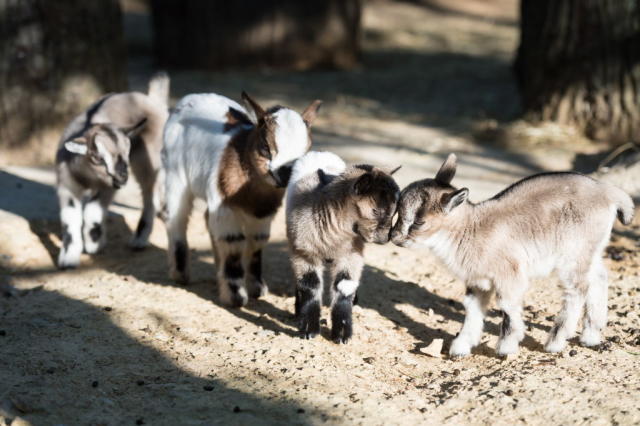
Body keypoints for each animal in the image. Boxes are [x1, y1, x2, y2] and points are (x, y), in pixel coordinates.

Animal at [160, 90, 320, 306]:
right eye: (266, 147)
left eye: (306, 150)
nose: (286, 174)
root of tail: (190, 98)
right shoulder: (225, 207)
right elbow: (233, 243)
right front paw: (235, 296)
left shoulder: (263, 212)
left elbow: (257, 243)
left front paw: (257, 288)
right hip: (174, 171)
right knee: (176, 216)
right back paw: (180, 274)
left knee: (206, 219)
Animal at [286, 151, 400, 342]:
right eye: (376, 211)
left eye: (394, 211)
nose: (386, 239)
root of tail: (320, 153)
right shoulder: (304, 252)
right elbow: (310, 286)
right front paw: (309, 329)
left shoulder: (351, 255)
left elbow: (344, 287)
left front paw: (342, 333)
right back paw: (297, 310)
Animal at [390, 153, 636, 356]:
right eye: (397, 213)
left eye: (419, 222)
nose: (394, 237)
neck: (472, 230)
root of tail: (608, 192)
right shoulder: (478, 281)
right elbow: (472, 309)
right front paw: (461, 347)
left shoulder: (509, 274)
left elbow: (507, 307)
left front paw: (506, 347)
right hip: (589, 249)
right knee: (598, 277)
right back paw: (591, 336)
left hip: (574, 253)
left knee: (576, 290)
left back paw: (555, 343)